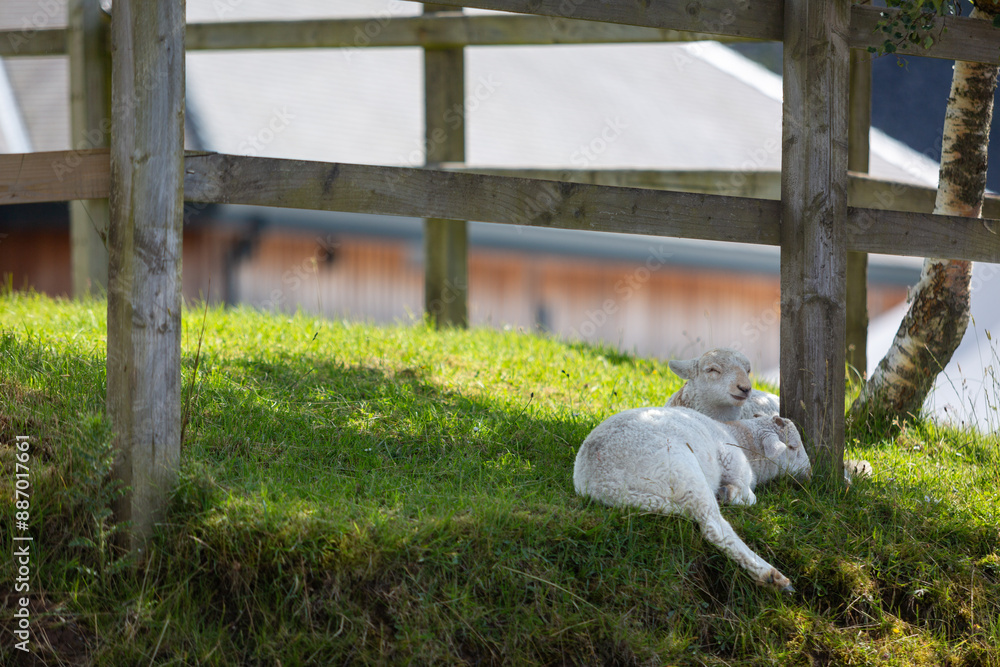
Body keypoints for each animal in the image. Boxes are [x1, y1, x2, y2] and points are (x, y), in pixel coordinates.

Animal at [573, 406, 810, 591]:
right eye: (793, 447)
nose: (810, 474)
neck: (739, 436)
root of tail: (599, 481)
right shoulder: (733, 463)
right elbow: (750, 497)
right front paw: (730, 495)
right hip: (681, 468)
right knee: (713, 527)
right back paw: (771, 576)